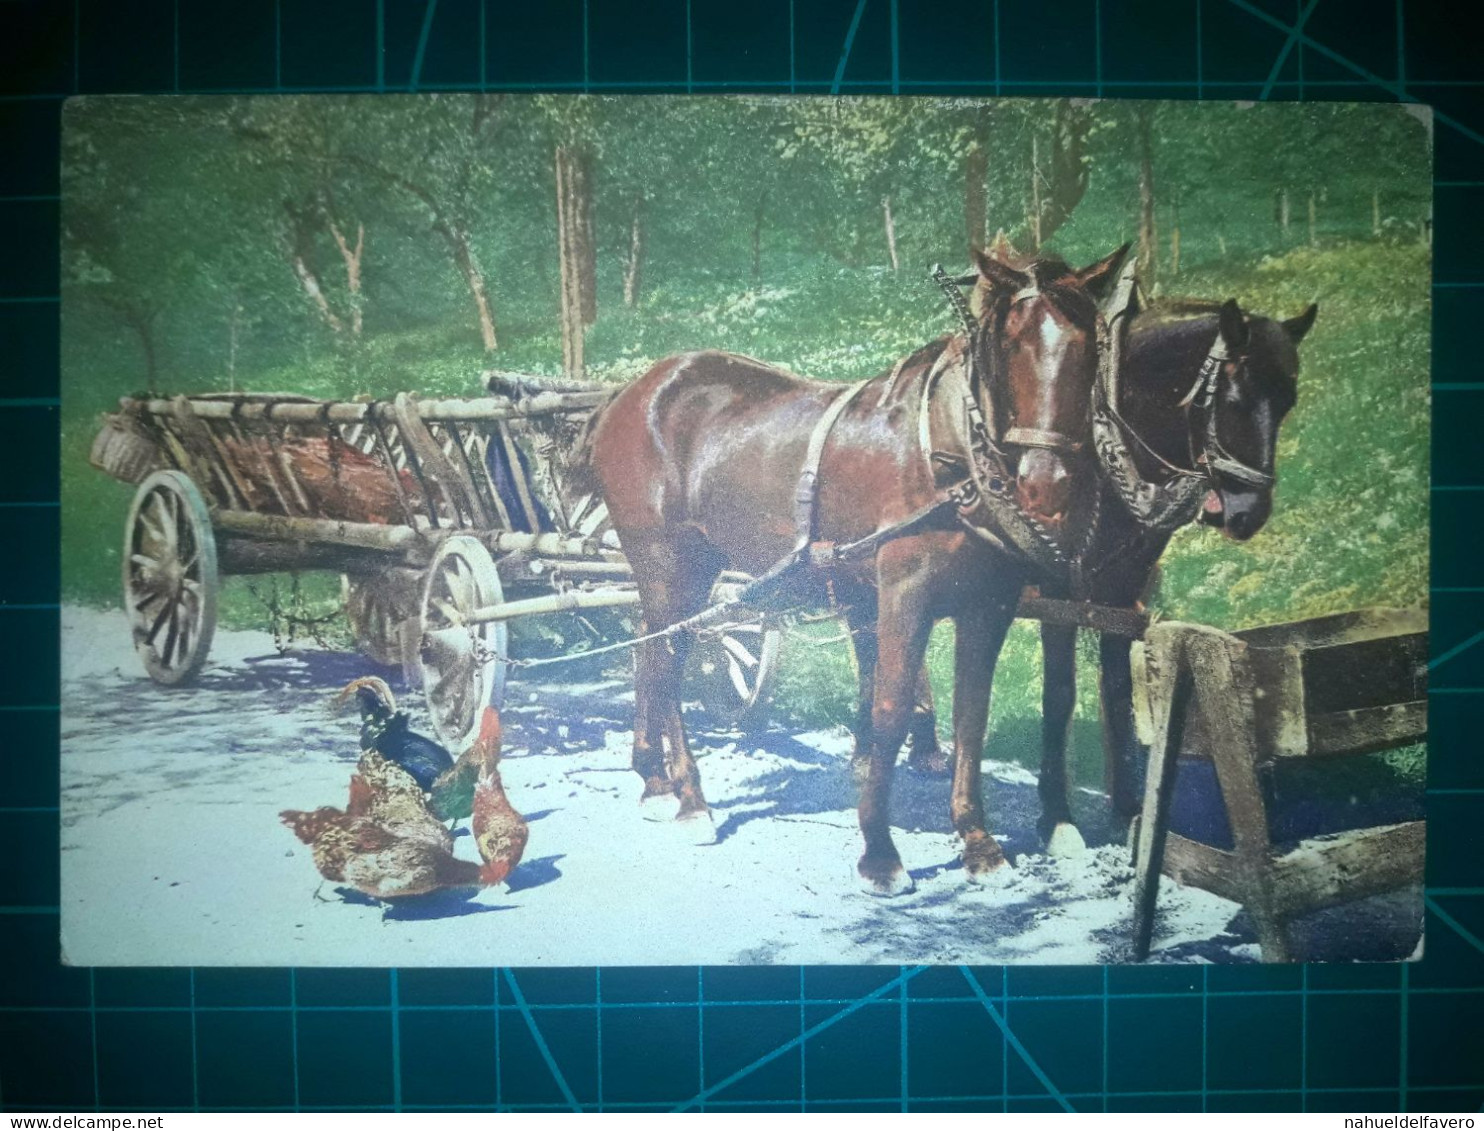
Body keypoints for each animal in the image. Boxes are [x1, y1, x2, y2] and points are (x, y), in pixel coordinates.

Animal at [566, 241, 1121, 896]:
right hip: (669, 565)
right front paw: (880, 853)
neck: (946, 454)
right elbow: (889, 710)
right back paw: (689, 798)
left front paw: (977, 841)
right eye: (1010, 343)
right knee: (667, 659)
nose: (1046, 483)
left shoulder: (990, 606)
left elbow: (971, 716)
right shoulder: (902, 593)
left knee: (650, 651)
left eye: (1089, 345)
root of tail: (631, 391)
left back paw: (655, 779)